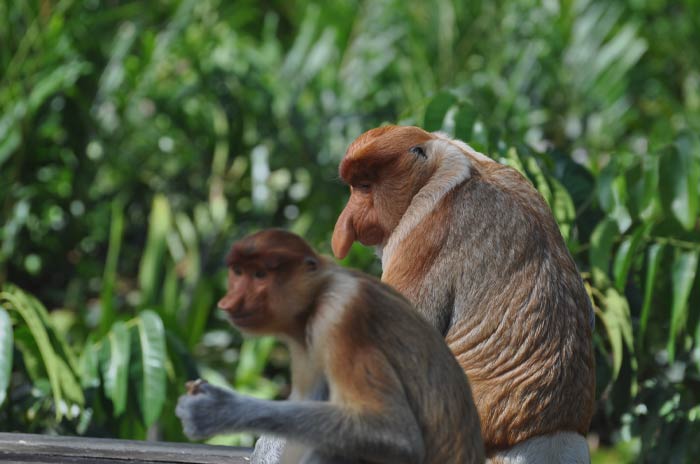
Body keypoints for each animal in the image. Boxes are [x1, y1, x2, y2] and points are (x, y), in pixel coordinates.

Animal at [176, 229, 485, 464]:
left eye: (260, 275)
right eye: (238, 272)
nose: (228, 303)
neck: (319, 290)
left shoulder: (341, 317)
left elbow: (396, 433)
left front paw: (215, 408)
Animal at [330, 126, 595, 463]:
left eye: (364, 186)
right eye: (354, 187)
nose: (347, 221)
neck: (445, 162)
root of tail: (554, 431)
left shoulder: (421, 233)